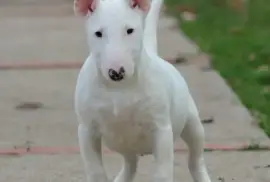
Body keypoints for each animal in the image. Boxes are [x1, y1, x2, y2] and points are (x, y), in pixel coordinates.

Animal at [73, 0, 211, 181]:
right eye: (98, 33)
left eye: (130, 30)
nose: (116, 72)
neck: (119, 88)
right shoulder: (87, 130)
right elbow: (96, 171)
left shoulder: (161, 129)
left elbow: (162, 173)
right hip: (124, 144)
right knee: (131, 163)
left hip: (192, 124)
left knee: (195, 158)